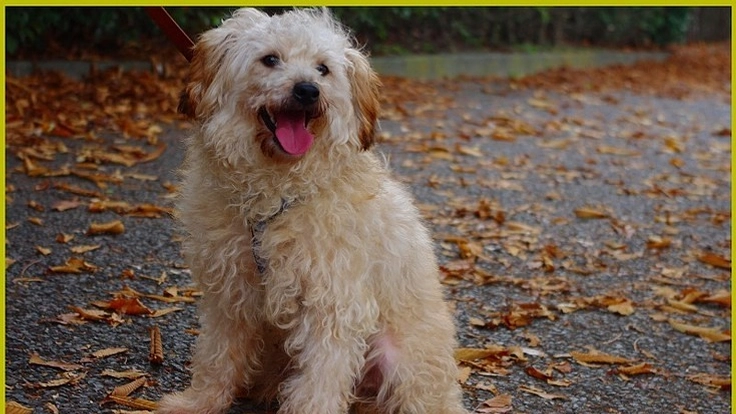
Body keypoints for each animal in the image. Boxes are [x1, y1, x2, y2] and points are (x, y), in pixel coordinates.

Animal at [157, 7, 466, 414]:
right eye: (270, 59)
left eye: (323, 69)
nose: (307, 90)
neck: (275, 199)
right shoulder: (230, 295)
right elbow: (217, 356)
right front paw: (200, 401)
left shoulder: (333, 305)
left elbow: (319, 381)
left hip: (396, 358)